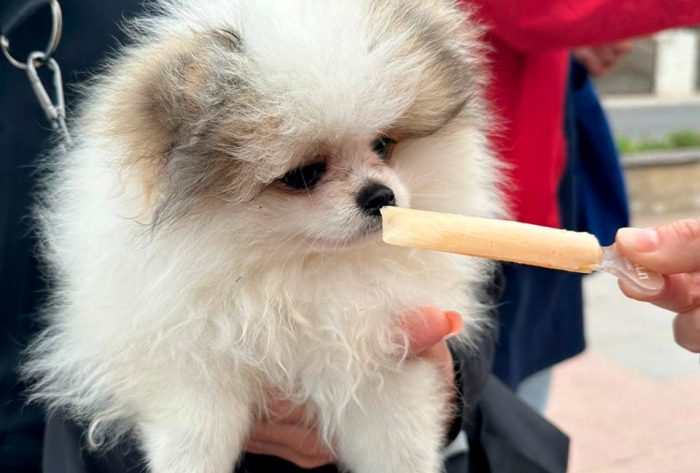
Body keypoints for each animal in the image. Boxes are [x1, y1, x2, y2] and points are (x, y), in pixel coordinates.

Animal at [26, 0, 504, 472]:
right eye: (304, 174)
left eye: (384, 145)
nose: (380, 195)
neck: (298, 271)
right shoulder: (187, 356)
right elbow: (197, 429)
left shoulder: (386, 354)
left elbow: (397, 440)